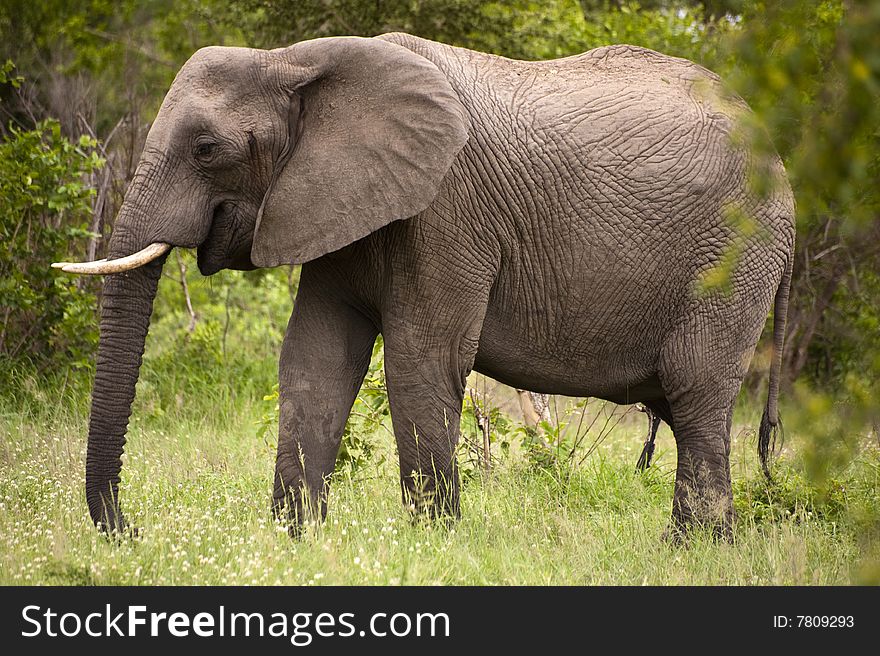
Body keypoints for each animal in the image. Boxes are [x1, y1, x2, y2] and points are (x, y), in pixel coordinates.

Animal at [56, 32, 796, 540]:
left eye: (207, 149)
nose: (130, 531)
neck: (293, 61)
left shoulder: (445, 211)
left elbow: (421, 361)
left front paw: (434, 544)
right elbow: (314, 360)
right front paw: (294, 540)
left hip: (737, 255)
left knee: (696, 392)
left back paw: (690, 552)